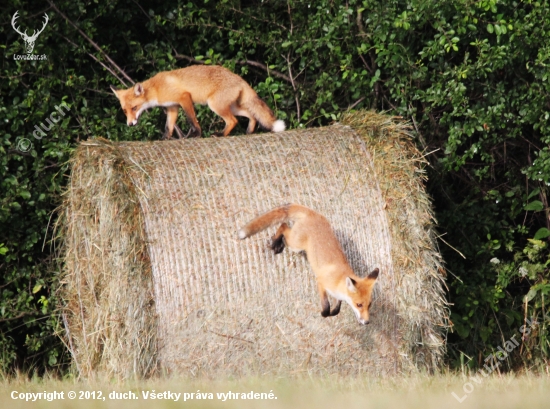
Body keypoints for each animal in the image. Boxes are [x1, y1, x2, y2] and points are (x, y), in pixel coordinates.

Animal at [110, 63, 286, 139]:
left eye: (134, 108)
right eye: (125, 111)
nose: (130, 124)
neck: (157, 89)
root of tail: (239, 78)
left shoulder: (184, 98)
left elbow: (192, 120)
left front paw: (196, 135)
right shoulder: (172, 107)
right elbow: (169, 127)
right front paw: (164, 139)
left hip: (215, 106)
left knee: (233, 121)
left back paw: (220, 134)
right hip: (232, 107)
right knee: (251, 115)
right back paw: (249, 132)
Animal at [239, 202, 382, 324]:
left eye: (369, 304)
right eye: (359, 304)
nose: (367, 322)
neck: (338, 280)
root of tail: (313, 213)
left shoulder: (337, 294)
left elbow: (337, 308)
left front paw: (333, 313)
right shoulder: (321, 282)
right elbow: (326, 305)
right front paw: (324, 313)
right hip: (295, 245)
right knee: (283, 225)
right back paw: (276, 242)